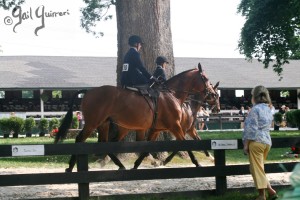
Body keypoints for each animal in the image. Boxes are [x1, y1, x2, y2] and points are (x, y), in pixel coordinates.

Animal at [55, 63, 219, 172]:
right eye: (205, 78)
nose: (213, 95)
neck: (171, 95)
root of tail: (88, 91)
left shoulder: (156, 129)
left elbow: (146, 147)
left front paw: (139, 165)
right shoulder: (176, 127)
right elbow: (186, 144)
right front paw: (197, 163)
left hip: (105, 124)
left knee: (106, 144)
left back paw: (120, 166)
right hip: (92, 123)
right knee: (80, 140)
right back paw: (70, 167)